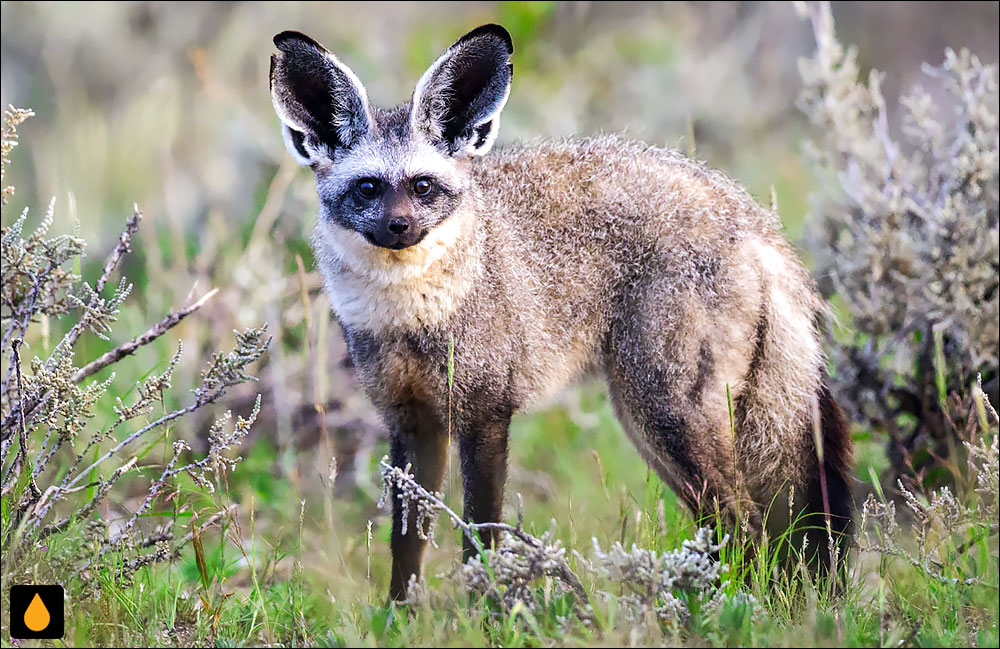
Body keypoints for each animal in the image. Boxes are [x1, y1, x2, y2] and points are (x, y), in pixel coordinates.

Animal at [270, 21, 856, 596]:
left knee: (745, 526)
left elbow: (481, 540)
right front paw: (401, 616)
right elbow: (407, 549)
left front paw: (490, 611)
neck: (412, 316)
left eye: (423, 186)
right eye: (368, 188)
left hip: (665, 417)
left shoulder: (485, 414)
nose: (399, 227)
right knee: (736, 530)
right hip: (655, 427)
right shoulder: (412, 422)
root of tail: (750, 215)